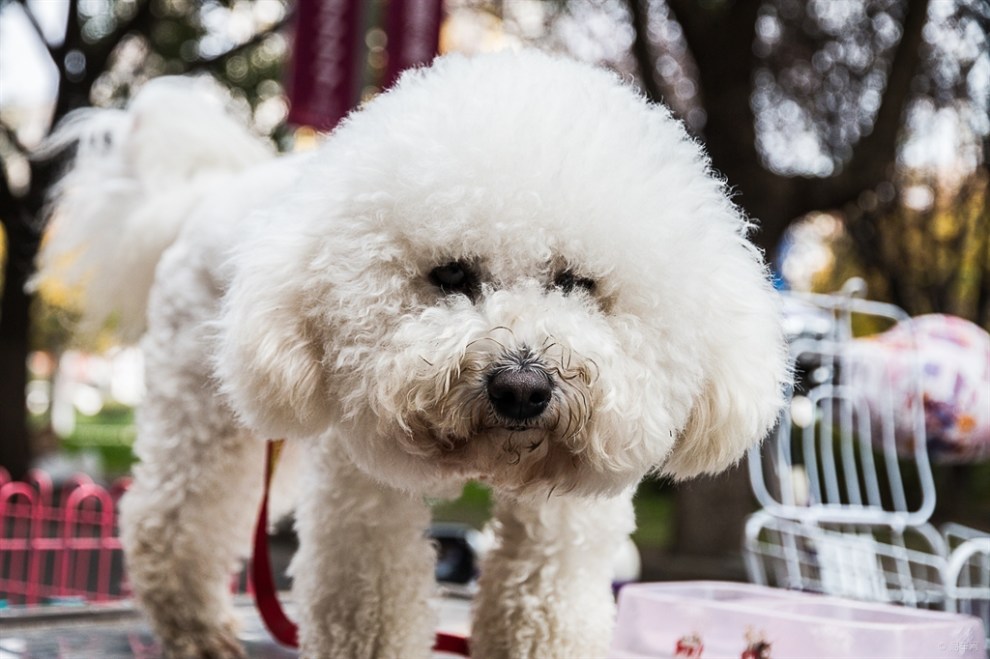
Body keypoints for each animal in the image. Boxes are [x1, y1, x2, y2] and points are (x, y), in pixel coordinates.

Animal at [36, 49, 792, 656]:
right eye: (452, 274)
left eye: (577, 281)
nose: (521, 387)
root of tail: (199, 196)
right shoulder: (361, 487)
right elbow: (368, 603)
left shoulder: (566, 516)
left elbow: (547, 605)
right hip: (204, 409)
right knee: (168, 521)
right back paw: (196, 629)